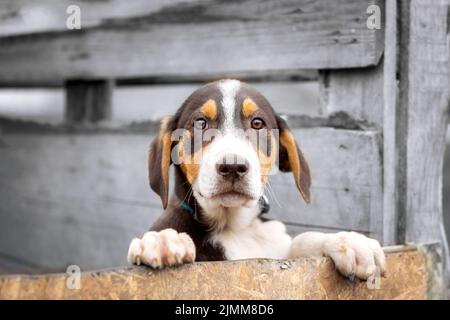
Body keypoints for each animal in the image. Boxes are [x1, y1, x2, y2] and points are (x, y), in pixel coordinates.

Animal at [127, 79, 386, 280]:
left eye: (257, 123)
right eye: (200, 123)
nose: (233, 167)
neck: (233, 227)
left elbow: (300, 241)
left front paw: (348, 242)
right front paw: (163, 240)